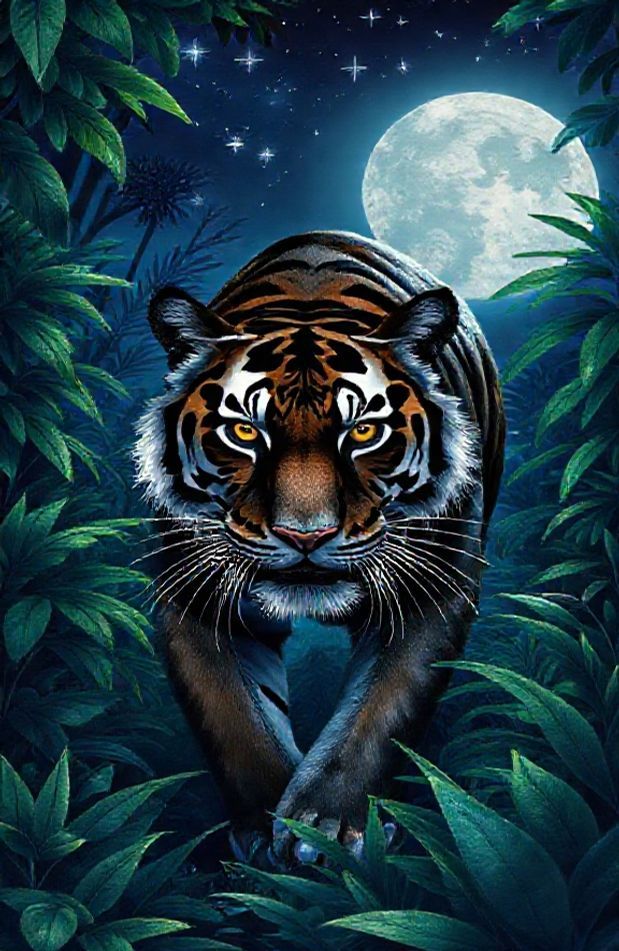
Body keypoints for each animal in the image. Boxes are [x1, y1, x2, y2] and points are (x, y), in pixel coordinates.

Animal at [136, 230, 505, 862]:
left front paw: (324, 831)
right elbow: (236, 719)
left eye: (363, 431)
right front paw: (264, 831)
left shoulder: (431, 591)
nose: (304, 534)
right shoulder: (196, 598)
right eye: (244, 431)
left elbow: (379, 716)